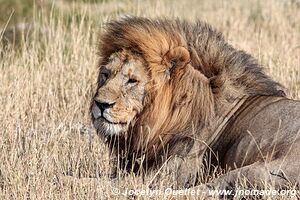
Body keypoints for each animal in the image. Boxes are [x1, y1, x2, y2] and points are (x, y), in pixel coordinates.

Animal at [91, 16, 300, 197]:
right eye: (105, 74)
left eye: (132, 81)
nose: (100, 104)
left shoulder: (170, 171)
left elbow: (104, 181)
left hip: (258, 171)